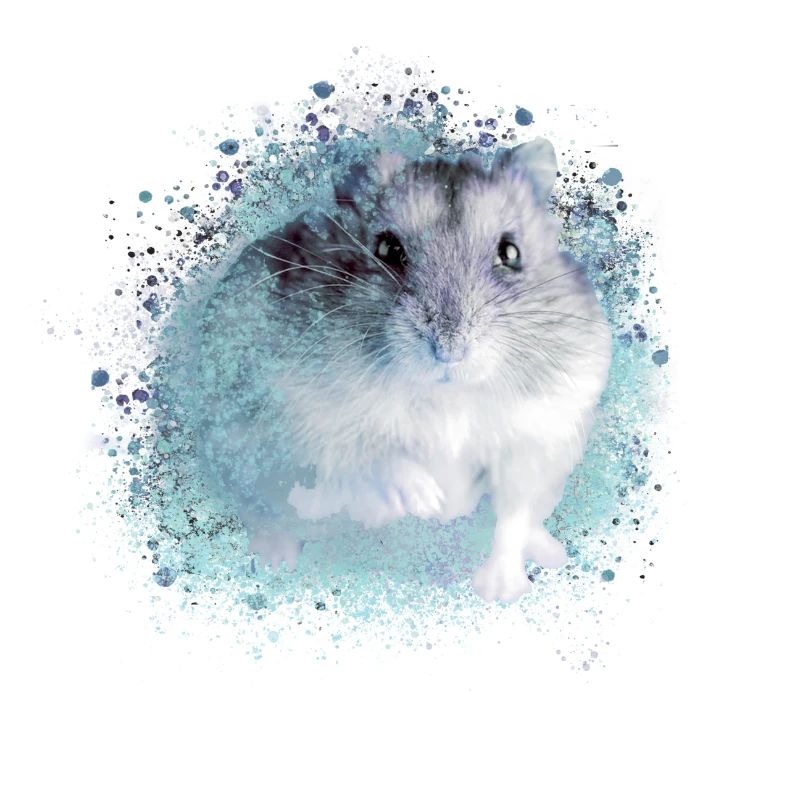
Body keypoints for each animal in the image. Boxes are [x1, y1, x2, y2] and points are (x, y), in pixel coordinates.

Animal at [193, 138, 612, 602]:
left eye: (511, 253)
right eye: (387, 249)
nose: (449, 351)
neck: (448, 395)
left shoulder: (542, 434)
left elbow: (513, 516)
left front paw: (499, 590)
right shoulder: (290, 408)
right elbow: (363, 452)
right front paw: (424, 499)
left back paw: (552, 553)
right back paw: (275, 560)